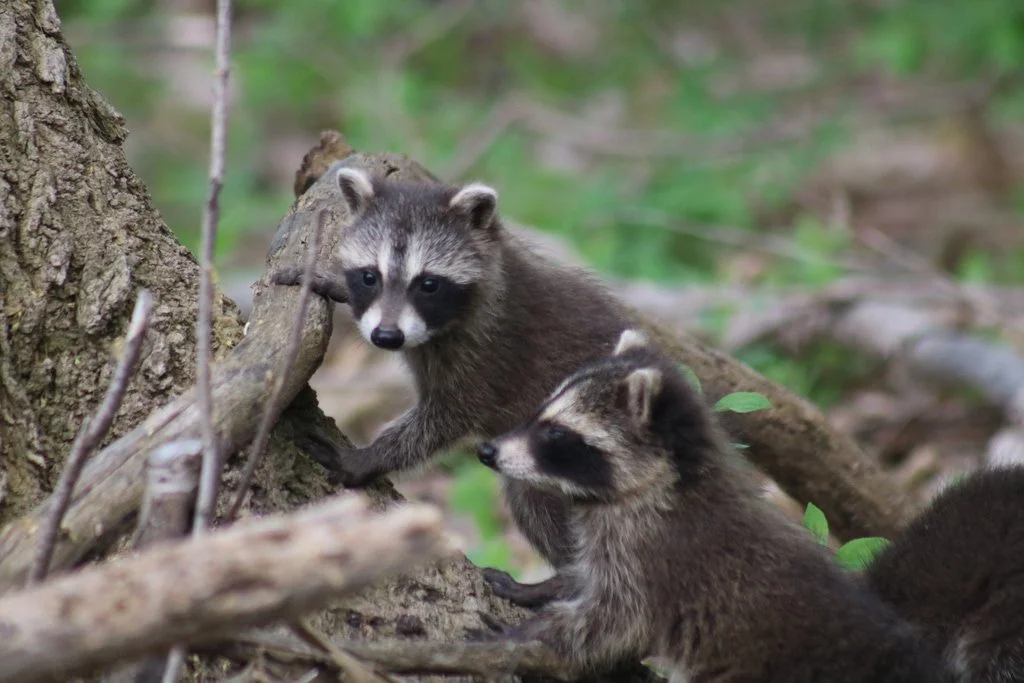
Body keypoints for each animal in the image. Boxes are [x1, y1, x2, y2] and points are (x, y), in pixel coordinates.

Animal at [272, 165, 635, 599]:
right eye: (370, 276)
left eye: (428, 283)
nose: (386, 337)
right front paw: (331, 282)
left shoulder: (491, 352)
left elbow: (445, 418)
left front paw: (366, 457)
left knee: (537, 500)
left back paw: (564, 579)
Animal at [473, 329, 951, 682]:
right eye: (540, 411)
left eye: (557, 434)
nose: (487, 451)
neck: (663, 484)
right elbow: (586, 579)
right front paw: (539, 588)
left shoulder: (653, 556)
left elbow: (611, 621)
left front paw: (523, 635)